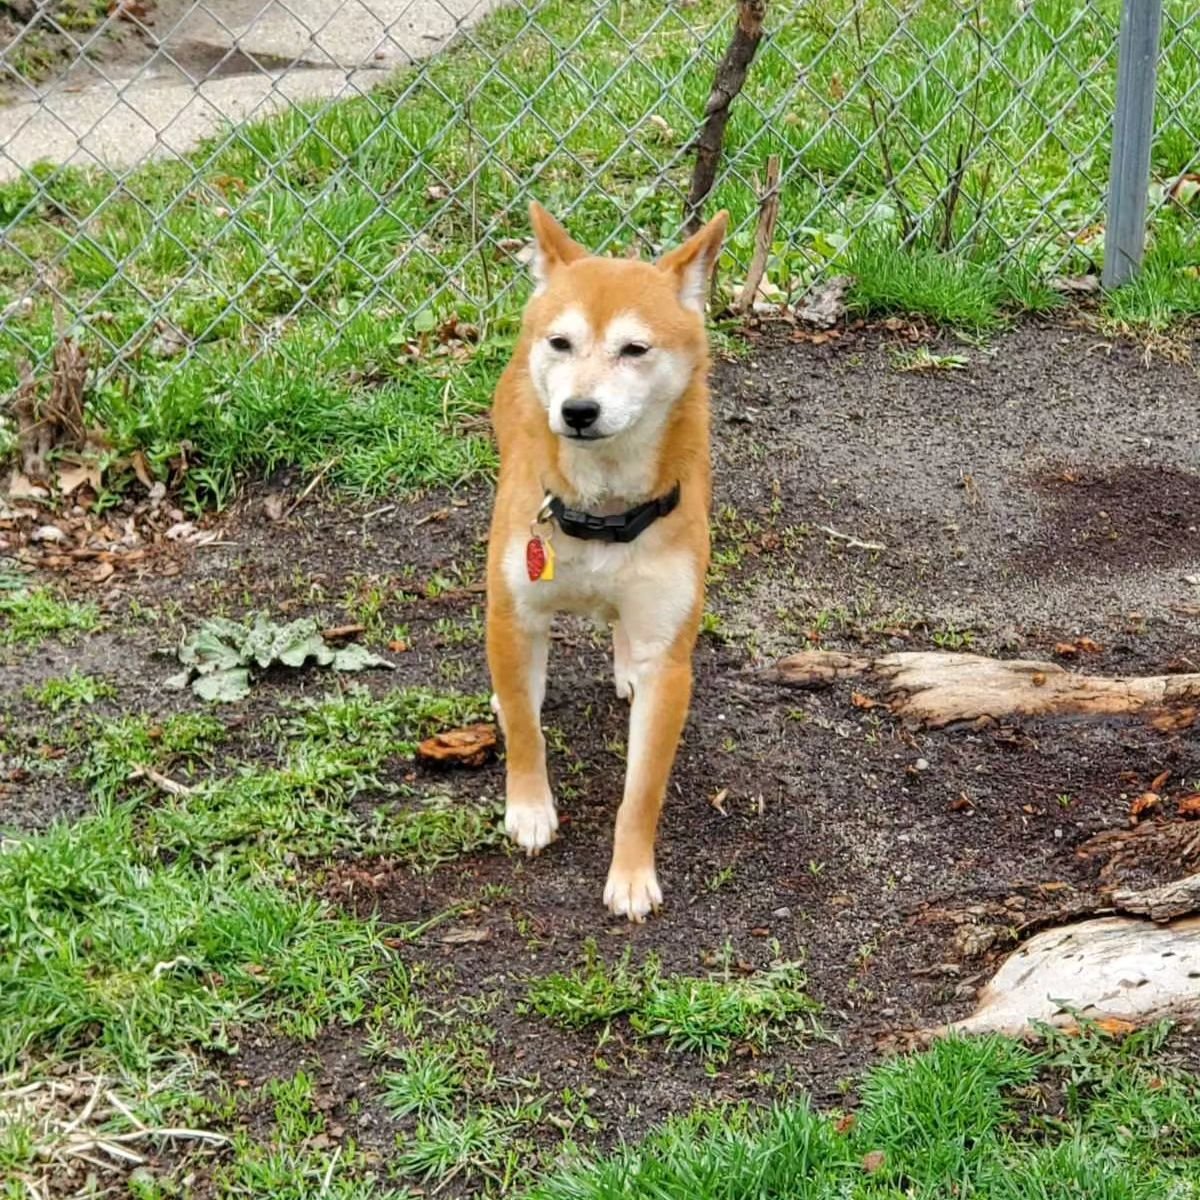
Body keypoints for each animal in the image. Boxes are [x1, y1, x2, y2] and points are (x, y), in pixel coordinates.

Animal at [482, 204, 724, 916]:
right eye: (561, 343)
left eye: (634, 349)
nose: (578, 410)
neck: (602, 512)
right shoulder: (514, 612)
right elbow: (528, 731)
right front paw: (529, 808)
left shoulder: (670, 659)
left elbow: (642, 791)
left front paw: (632, 873)